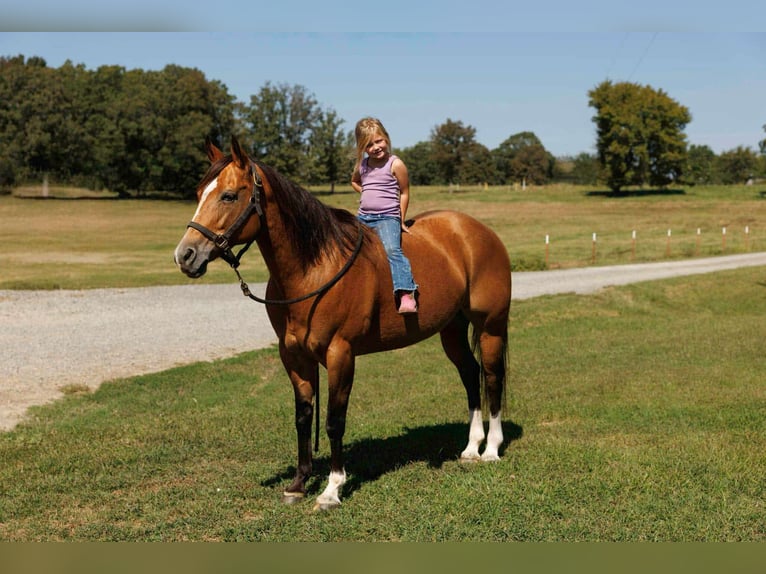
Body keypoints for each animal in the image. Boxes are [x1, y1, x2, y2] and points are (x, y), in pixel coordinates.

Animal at [174, 137, 512, 510]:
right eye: (199, 192)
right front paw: (299, 483)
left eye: (229, 195)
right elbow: (303, 417)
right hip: (451, 329)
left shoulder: (340, 354)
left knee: (492, 378)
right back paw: (470, 447)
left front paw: (332, 489)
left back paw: (491, 449)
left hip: (490, 326)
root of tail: (479, 231)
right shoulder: (294, 357)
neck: (314, 268)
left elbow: (334, 421)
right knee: (469, 374)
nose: (185, 255)